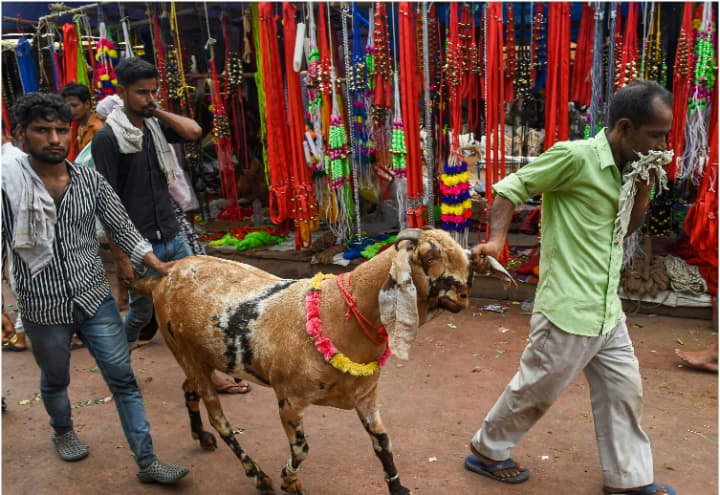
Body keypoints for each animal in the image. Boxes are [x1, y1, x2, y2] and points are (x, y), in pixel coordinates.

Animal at [133, 229, 476, 495]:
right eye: (429, 256)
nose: (464, 295)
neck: (337, 314)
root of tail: (164, 276)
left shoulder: (367, 397)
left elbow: (383, 443)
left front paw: (398, 487)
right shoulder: (289, 400)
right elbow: (302, 449)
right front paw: (289, 481)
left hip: (197, 358)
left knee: (188, 388)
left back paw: (201, 436)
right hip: (187, 354)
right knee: (221, 421)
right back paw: (258, 476)